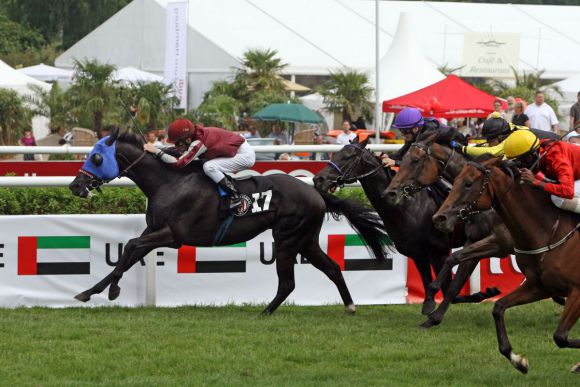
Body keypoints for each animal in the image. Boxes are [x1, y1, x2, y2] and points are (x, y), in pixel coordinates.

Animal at [386, 132, 512, 328]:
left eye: (415, 160)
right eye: (403, 158)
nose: (391, 192)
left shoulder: (501, 242)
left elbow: (452, 260)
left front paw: (431, 293)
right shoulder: (474, 241)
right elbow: (455, 281)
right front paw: (434, 317)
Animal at [432, 156, 576, 374]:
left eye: (468, 183)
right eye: (455, 180)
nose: (439, 218)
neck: (549, 230)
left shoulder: (576, 291)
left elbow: (560, 336)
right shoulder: (539, 285)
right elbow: (497, 306)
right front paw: (519, 361)